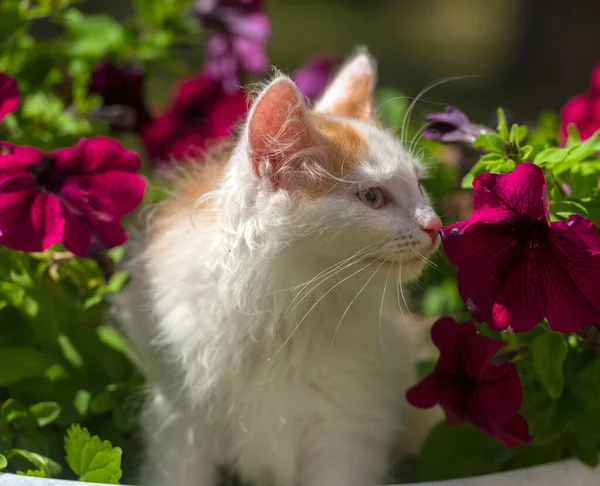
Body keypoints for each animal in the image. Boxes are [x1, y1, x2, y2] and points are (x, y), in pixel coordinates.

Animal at [117, 50, 442, 486]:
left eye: (419, 185)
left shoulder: (347, 431)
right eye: (373, 197)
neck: (287, 310)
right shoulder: (180, 428)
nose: (435, 226)